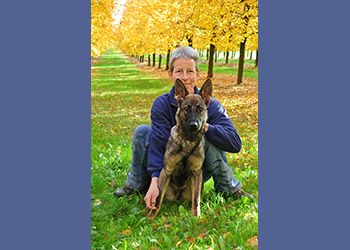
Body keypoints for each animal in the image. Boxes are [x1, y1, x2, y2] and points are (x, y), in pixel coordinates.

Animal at [148, 78, 213, 221]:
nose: (194, 125)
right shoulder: (167, 170)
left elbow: (196, 200)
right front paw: (150, 217)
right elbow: (158, 198)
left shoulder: (196, 173)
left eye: (200, 109)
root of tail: (178, 196)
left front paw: (196, 217)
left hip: (198, 184)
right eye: (186, 109)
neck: (188, 140)